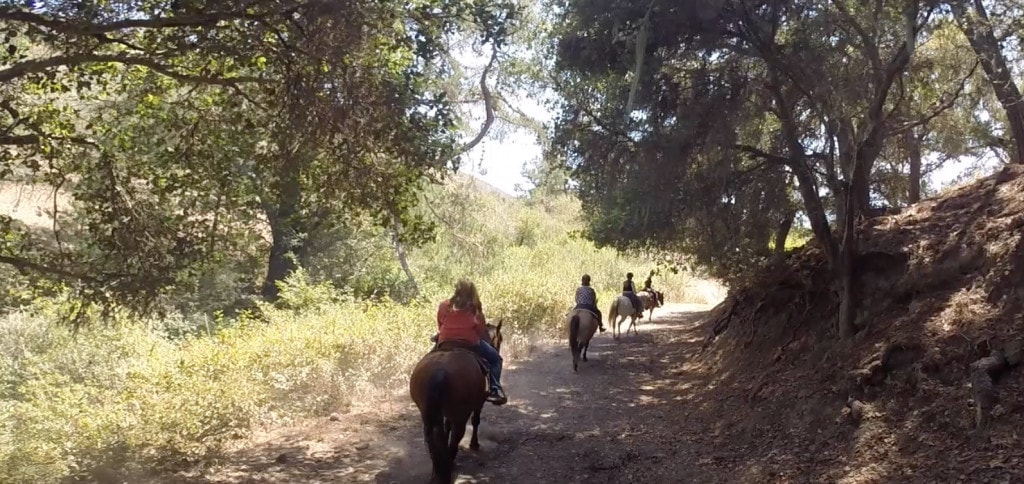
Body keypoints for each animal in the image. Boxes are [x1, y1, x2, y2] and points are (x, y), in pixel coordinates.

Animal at [407, 319, 503, 480]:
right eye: (500, 339)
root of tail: (439, 372)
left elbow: (447, 427)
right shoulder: (479, 402)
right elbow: (475, 421)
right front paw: (474, 444)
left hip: (428, 415)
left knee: (432, 439)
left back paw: (437, 471)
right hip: (461, 414)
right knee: (457, 436)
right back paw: (450, 465)